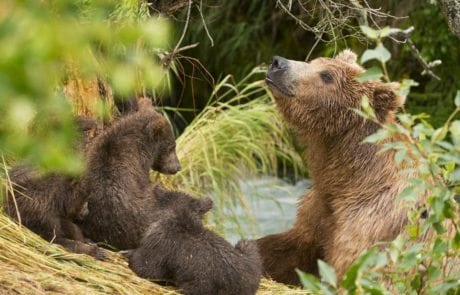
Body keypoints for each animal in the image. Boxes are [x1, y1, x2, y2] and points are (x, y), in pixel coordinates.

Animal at [256, 50, 408, 284]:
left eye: (326, 76)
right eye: (315, 61)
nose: (278, 63)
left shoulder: (370, 226)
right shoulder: (319, 208)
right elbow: (290, 247)